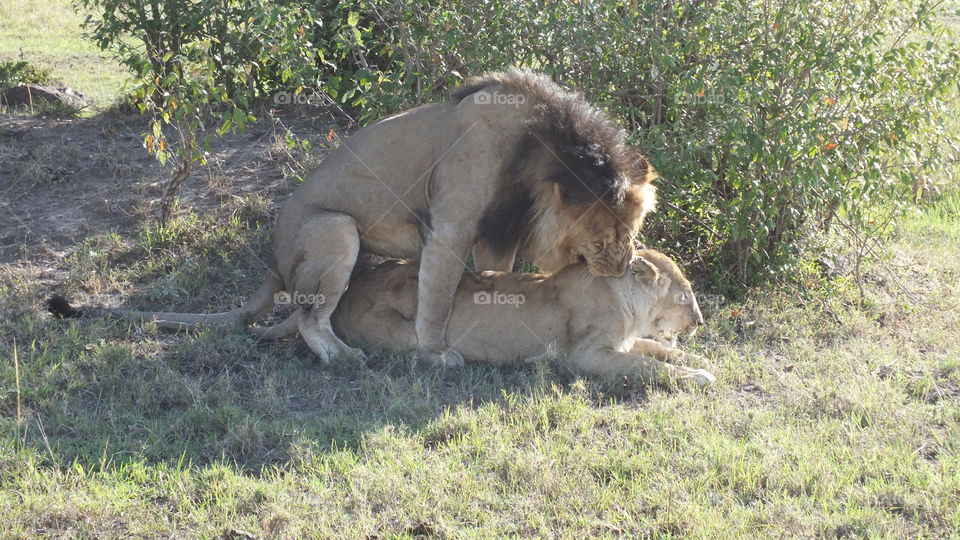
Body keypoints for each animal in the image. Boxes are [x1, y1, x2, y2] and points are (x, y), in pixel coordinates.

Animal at [50, 69, 658, 367]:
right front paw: (435, 354)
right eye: (616, 232)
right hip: (336, 230)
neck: (541, 154)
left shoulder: (497, 231)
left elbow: (494, 280)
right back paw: (343, 358)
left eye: (632, 232)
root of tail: (272, 261)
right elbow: (436, 298)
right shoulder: (451, 224)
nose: (626, 264)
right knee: (310, 318)